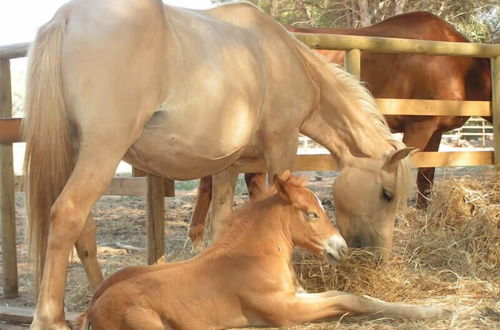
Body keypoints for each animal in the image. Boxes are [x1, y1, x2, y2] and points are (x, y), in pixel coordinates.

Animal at [24, 1, 414, 328]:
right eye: (386, 194)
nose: (377, 258)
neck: (283, 58)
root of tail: (66, 18)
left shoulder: (229, 164)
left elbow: (222, 222)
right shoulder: (281, 145)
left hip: (80, 152)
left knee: (84, 228)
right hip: (103, 149)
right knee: (67, 214)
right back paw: (50, 318)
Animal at [77, 173, 450, 330]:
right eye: (311, 213)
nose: (341, 247)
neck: (253, 257)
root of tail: (93, 306)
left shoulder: (297, 295)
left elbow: (354, 297)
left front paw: (431, 310)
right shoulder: (285, 311)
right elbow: (349, 300)